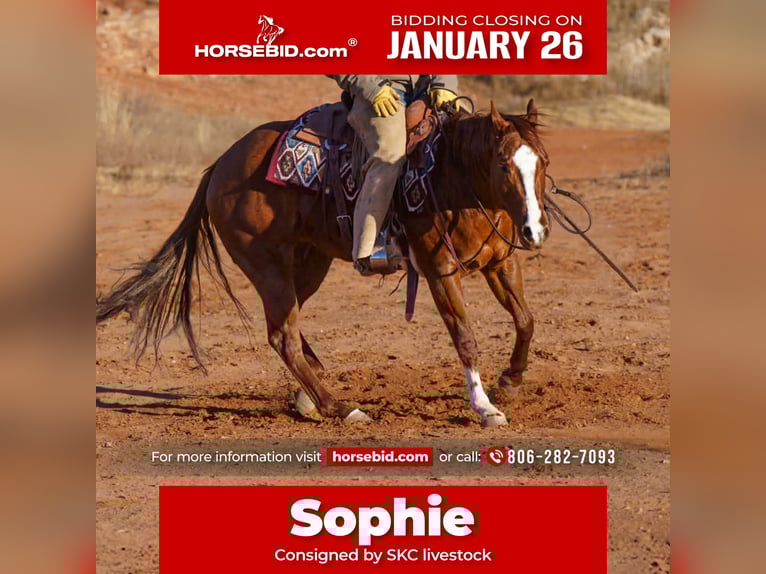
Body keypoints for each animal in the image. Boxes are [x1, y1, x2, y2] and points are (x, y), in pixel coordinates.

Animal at [95, 98, 550, 427]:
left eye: (542, 161)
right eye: (503, 163)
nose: (535, 229)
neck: (454, 177)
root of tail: (220, 166)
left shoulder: (501, 263)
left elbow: (526, 320)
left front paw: (511, 378)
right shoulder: (441, 271)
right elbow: (466, 338)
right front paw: (485, 408)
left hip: (309, 263)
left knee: (288, 328)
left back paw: (308, 396)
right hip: (267, 265)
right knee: (282, 335)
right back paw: (340, 407)